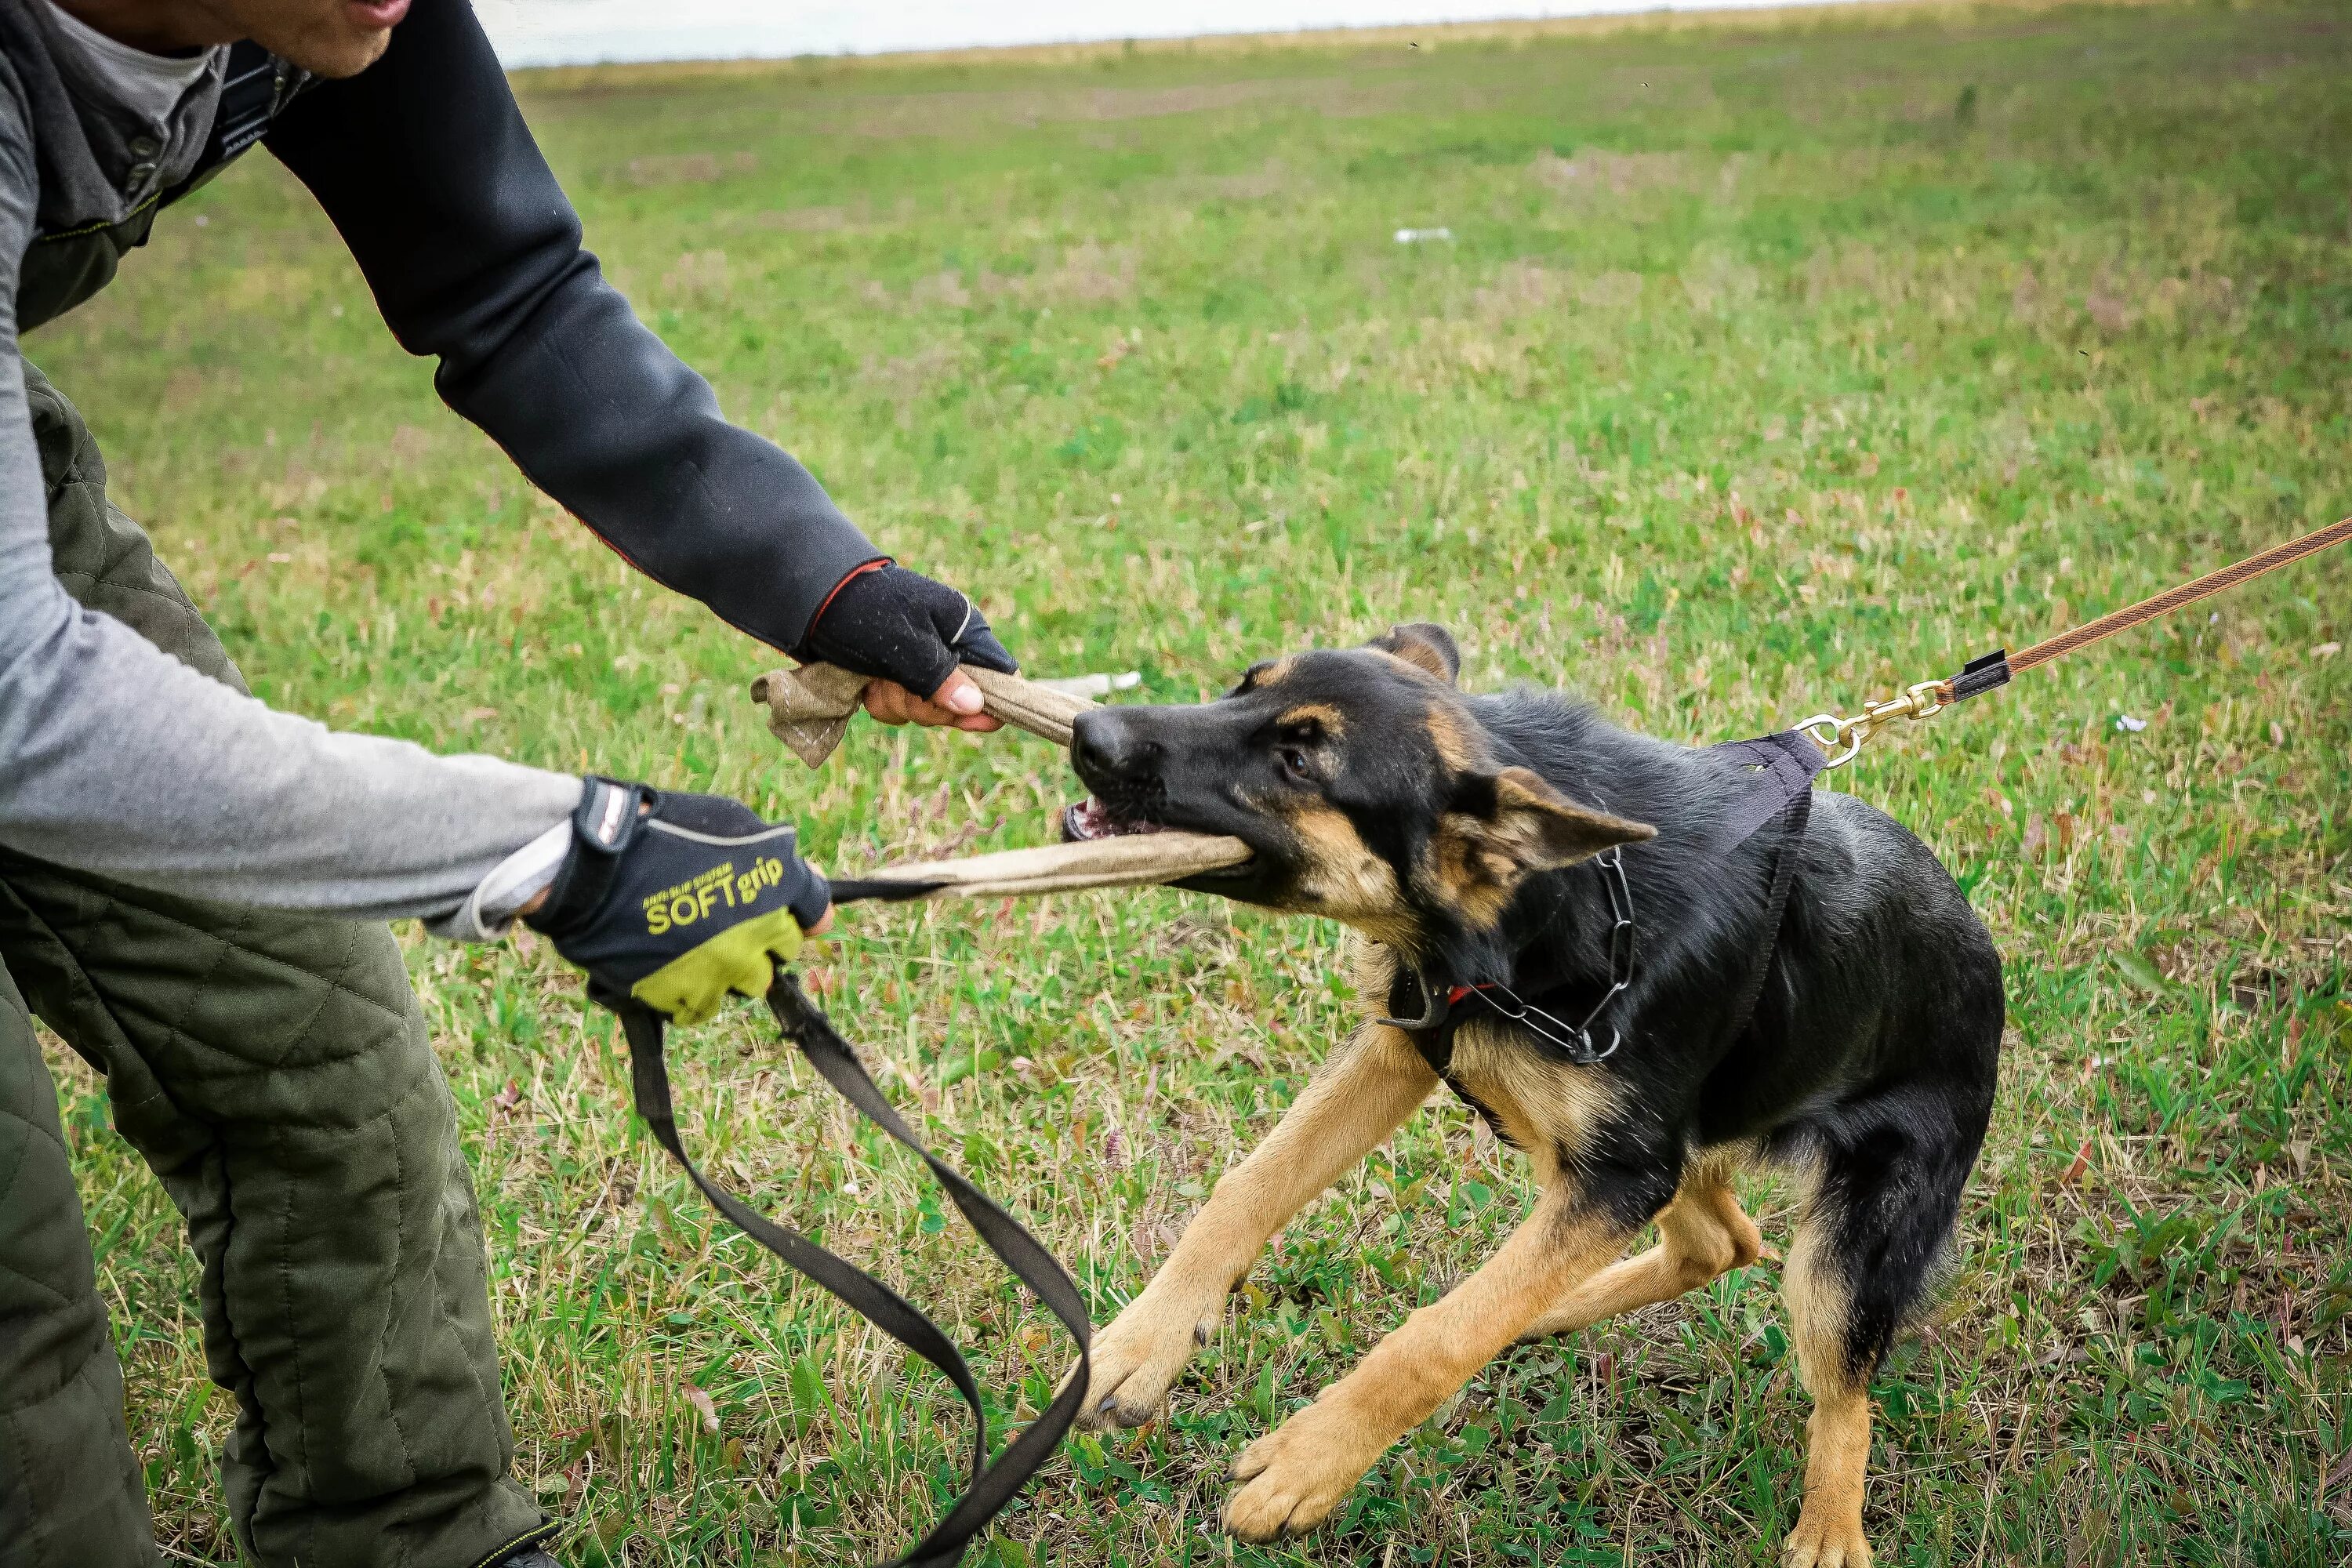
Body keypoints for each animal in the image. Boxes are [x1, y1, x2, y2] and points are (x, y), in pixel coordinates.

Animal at [1068, 630, 2004, 1568]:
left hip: (1835, 1246)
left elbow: (1436, 1337)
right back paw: (1560, 1306)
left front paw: (1307, 1462)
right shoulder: (1409, 1048)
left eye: (1299, 761)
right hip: (1655, 1149)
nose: (1087, 732)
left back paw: (1829, 1531)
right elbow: (1248, 1187)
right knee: (1721, 1242)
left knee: (1843, 1389)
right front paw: (1143, 1341)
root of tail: (1985, 953)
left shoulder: (1618, 1178)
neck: (1559, 893)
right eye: (1244, 687)